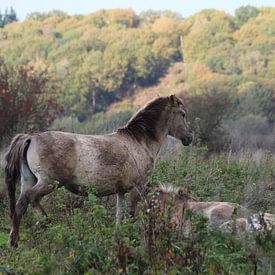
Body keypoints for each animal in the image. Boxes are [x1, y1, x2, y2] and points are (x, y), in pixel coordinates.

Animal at [4, 95, 194, 248]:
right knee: (31, 198)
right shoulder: (138, 189)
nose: (190, 137)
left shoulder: (120, 192)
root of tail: (30, 137)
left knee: (20, 206)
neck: (139, 141)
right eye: (183, 114)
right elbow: (131, 215)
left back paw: (14, 242)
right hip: (48, 183)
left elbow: (119, 217)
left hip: (29, 180)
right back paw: (46, 223)